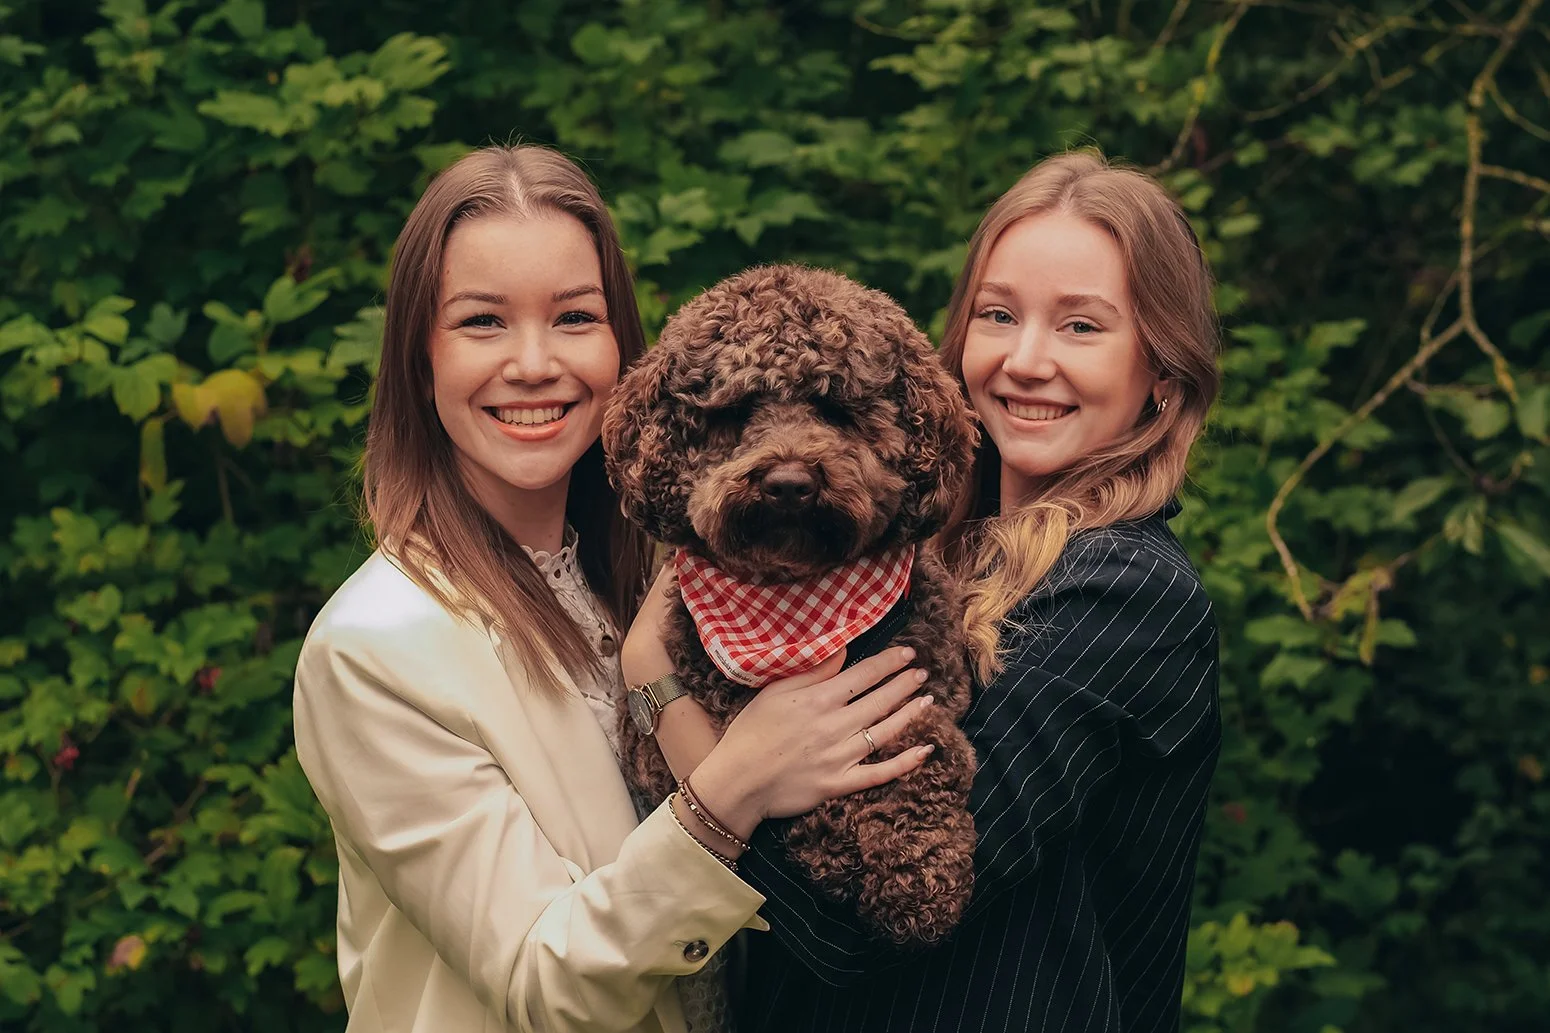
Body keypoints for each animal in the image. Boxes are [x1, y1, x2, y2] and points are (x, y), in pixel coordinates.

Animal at [603, 264, 978, 944]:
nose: (788, 484)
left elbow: (920, 745)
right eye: (734, 413)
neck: (798, 603)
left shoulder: (929, 675)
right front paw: (840, 851)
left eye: (836, 409)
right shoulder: (726, 702)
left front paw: (919, 874)